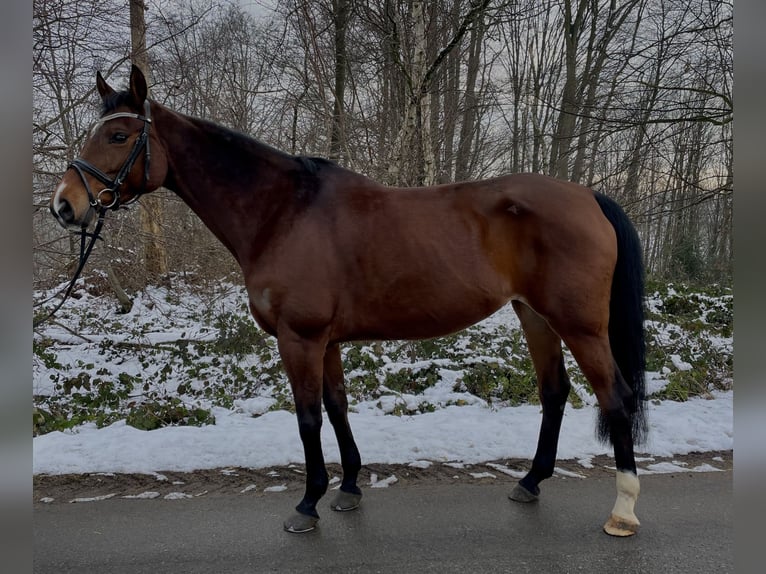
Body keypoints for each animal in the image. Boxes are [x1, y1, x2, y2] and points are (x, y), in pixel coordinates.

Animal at [48, 65, 648, 536]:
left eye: (119, 135)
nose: (64, 205)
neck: (282, 213)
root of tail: (588, 195)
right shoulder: (327, 341)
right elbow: (337, 408)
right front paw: (349, 488)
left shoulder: (301, 338)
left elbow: (308, 417)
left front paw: (308, 502)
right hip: (535, 315)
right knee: (555, 393)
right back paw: (530, 481)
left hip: (581, 325)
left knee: (615, 397)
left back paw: (622, 511)